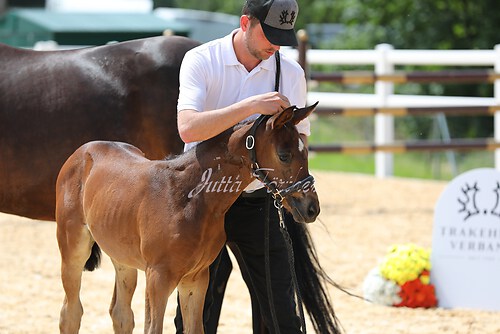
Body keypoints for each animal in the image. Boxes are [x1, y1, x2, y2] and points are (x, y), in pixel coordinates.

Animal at [55, 105, 320, 334]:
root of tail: (83, 151)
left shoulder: (196, 278)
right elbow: (153, 329)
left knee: (121, 314)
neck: (190, 199)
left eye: (306, 152)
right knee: (71, 312)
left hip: (123, 258)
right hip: (73, 251)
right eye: (284, 155)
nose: (311, 208)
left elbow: (195, 328)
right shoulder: (157, 278)